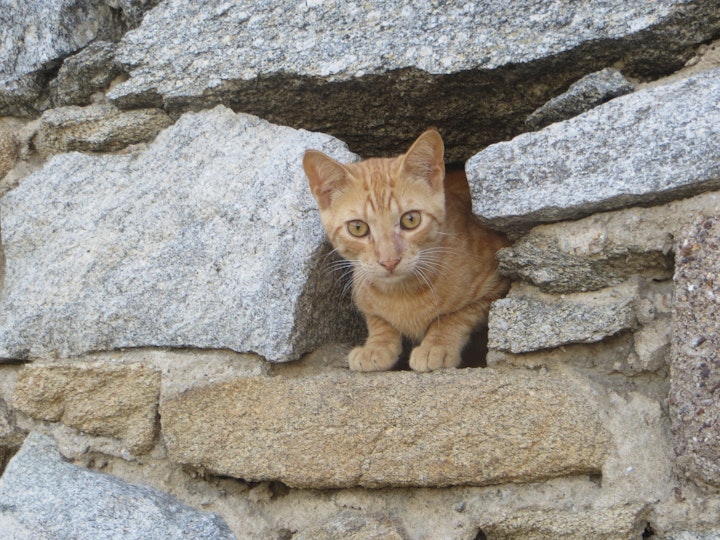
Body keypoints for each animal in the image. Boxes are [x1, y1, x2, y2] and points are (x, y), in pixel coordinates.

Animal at [300, 130, 510, 372]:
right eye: (358, 228)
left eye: (411, 220)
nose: (389, 260)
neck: (403, 293)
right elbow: (378, 319)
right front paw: (377, 346)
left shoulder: (495, 284)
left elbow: (456, 316)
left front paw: (436, 346)